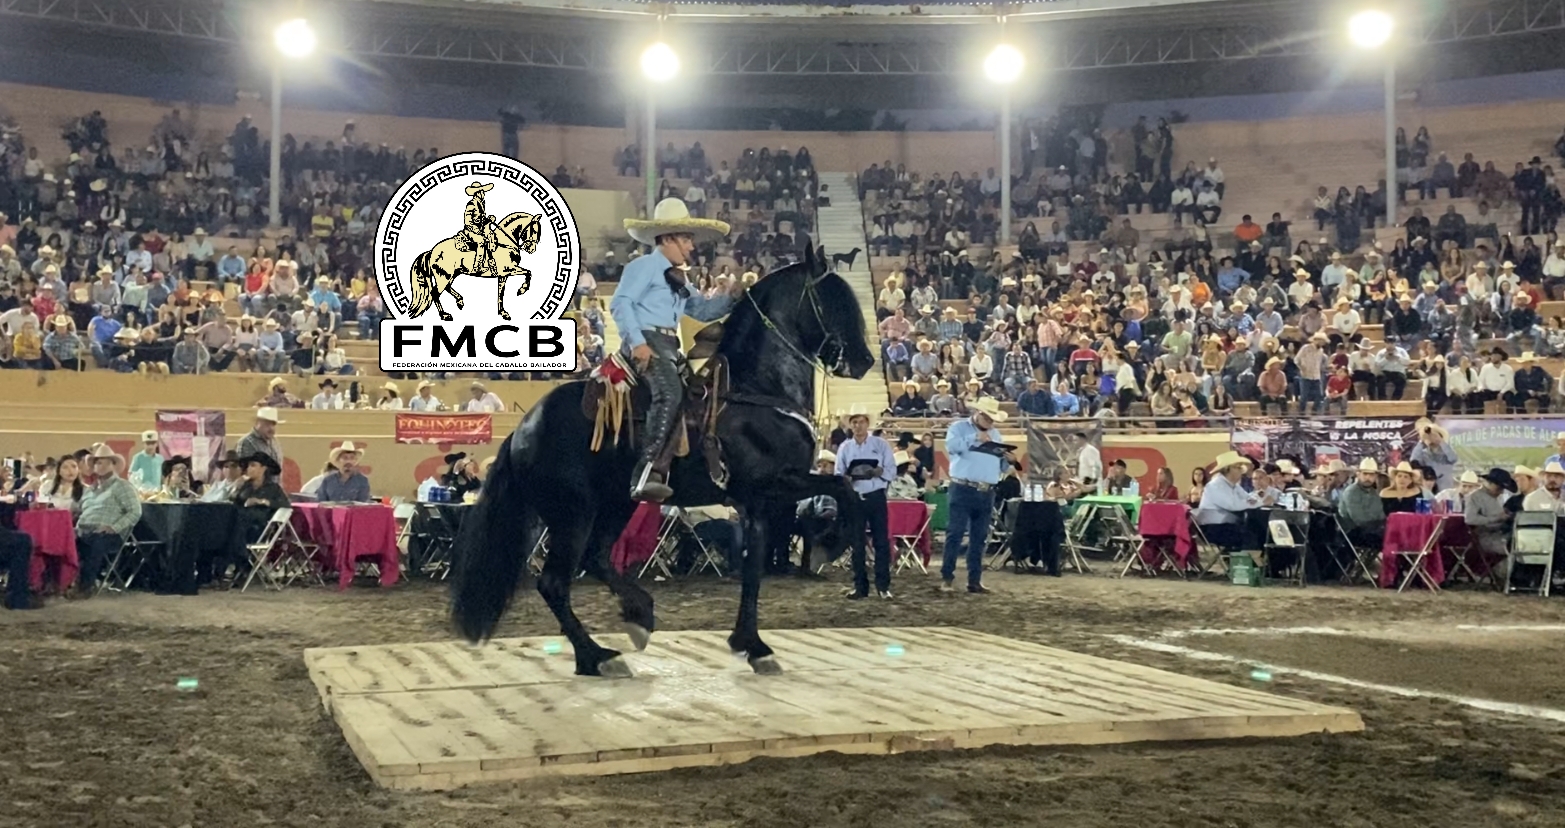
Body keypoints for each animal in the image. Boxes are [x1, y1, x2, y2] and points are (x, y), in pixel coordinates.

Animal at [407, 211, 542, 322]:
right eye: (534, 231)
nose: (531, 249)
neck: (504, 243)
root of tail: (432, 251)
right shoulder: (509, 270)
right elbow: (528, 272)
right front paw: (522, 290)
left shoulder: (503, 275)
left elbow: (501, 293)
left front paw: (503, 313)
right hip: (444, 276)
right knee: (435, 293)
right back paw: (445, 315)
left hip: (451, 274)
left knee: (447, 288)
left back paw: (460, 301)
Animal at [450, 244, 876, 678]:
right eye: (832, 300)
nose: (864, 361)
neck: (756, 390)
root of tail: (524, 428)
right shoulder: (774, 484)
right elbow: (845, 489)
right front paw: (832, 551)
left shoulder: (756, 503)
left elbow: (755, 570)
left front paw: (752, 644)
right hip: (573, 513)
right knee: (554, 581)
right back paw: (596, 656)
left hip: (616, 504)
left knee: (596, 558)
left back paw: (639, 614)